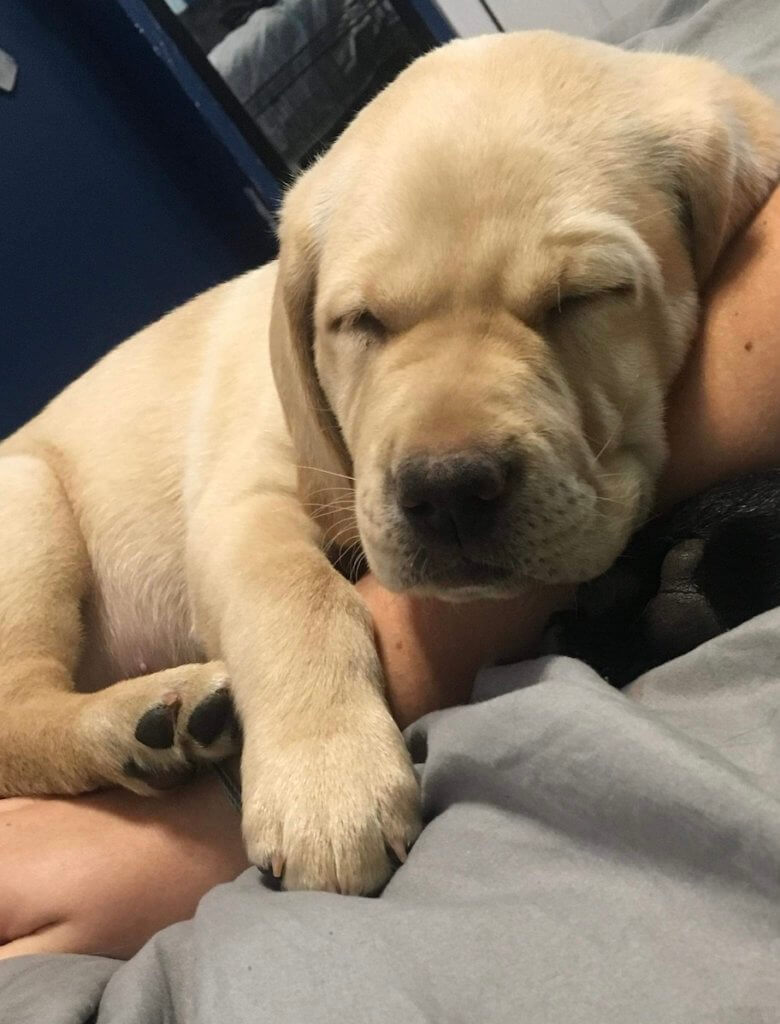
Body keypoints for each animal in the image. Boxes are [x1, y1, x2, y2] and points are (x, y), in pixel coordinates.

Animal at [1, 34, 777, 888]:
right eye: (360, 322)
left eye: (584, 298)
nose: (447, 492)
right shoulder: (245, 496)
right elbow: (293, 597)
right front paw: (328, 786)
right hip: (28, 509)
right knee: (15, 707)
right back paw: (138, 720)